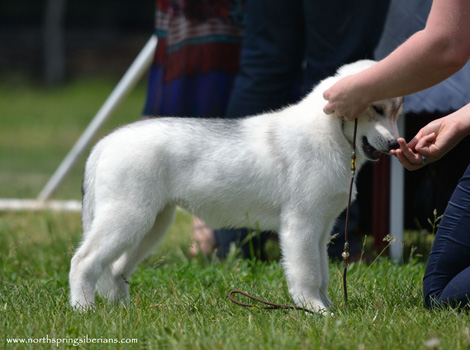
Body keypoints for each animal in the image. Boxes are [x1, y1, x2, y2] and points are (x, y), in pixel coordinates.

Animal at [70, 59, 404, 312]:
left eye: (396, 111)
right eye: (376, 109)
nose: (395, 145)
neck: (330, 135)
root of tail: (107, 141)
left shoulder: (322, 228)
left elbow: (322, 275)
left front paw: (330, 310)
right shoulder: (300, 225)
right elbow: (307, 275)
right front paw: (315, 311)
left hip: (151, 225)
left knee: (116, 270)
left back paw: (124, 311)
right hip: (127, 219)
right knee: (82, 262)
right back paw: (84, 310)